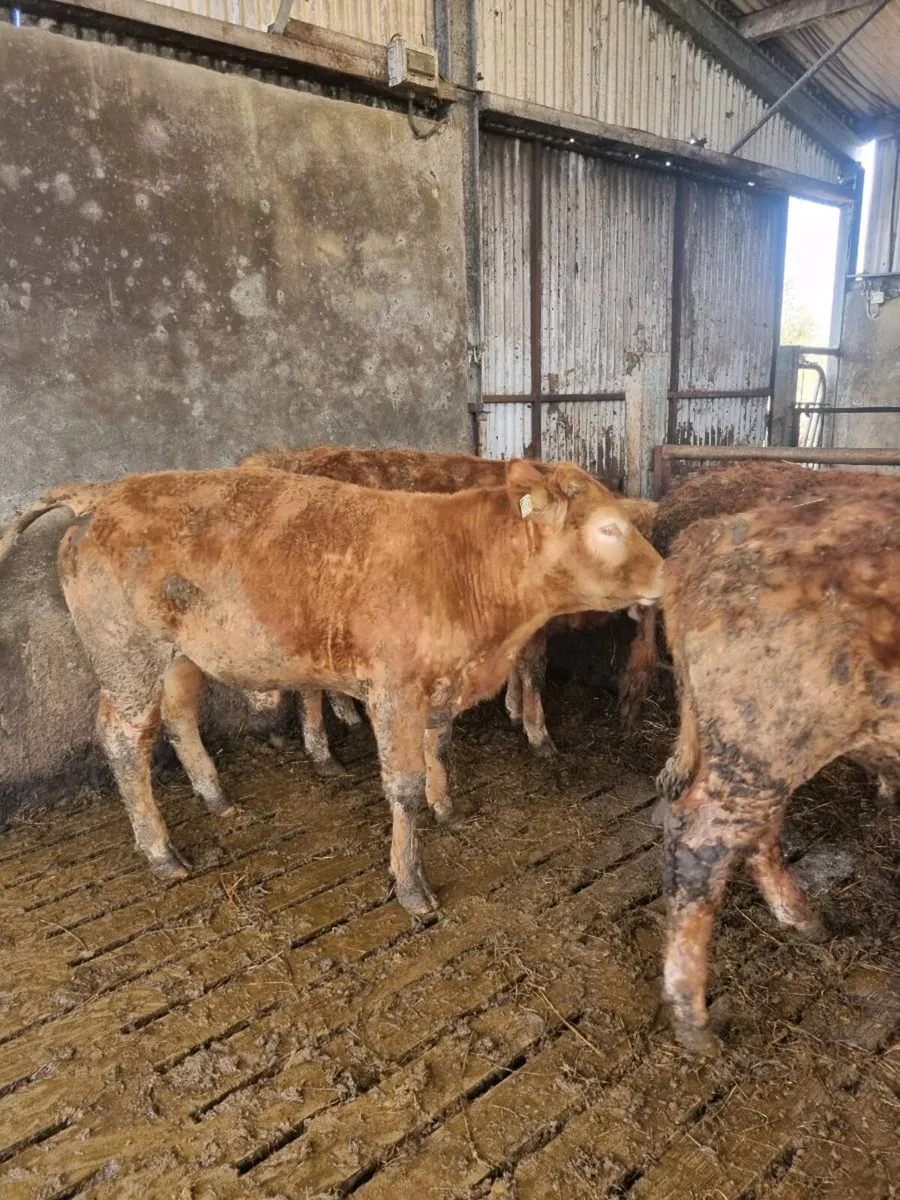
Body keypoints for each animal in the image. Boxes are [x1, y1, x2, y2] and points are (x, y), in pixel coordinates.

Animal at [239, 444, 656, 767]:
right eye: (609, 530)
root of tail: (289, 459)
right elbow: (534, 671)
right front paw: (539, 735)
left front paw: (513, 708)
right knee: (307, 689)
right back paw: (323, 753)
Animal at [656, 492, 900, 1055]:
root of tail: (706, 539)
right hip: (769, 735)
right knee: (700, 846)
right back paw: (695, 1023)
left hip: (760, 751)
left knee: (758, 831)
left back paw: (804, 918)